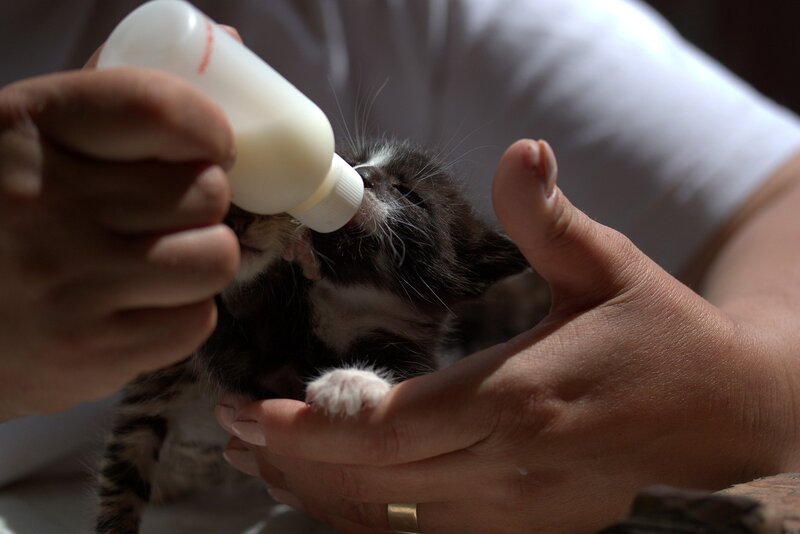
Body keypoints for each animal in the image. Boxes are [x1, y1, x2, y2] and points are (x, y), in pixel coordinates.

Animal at [95, 139, 544, 534]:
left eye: (410, 195)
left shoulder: (410, 350)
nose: (361, 175)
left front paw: (350, 382)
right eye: (357, 161)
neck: (342, 309)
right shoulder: (254, 365)